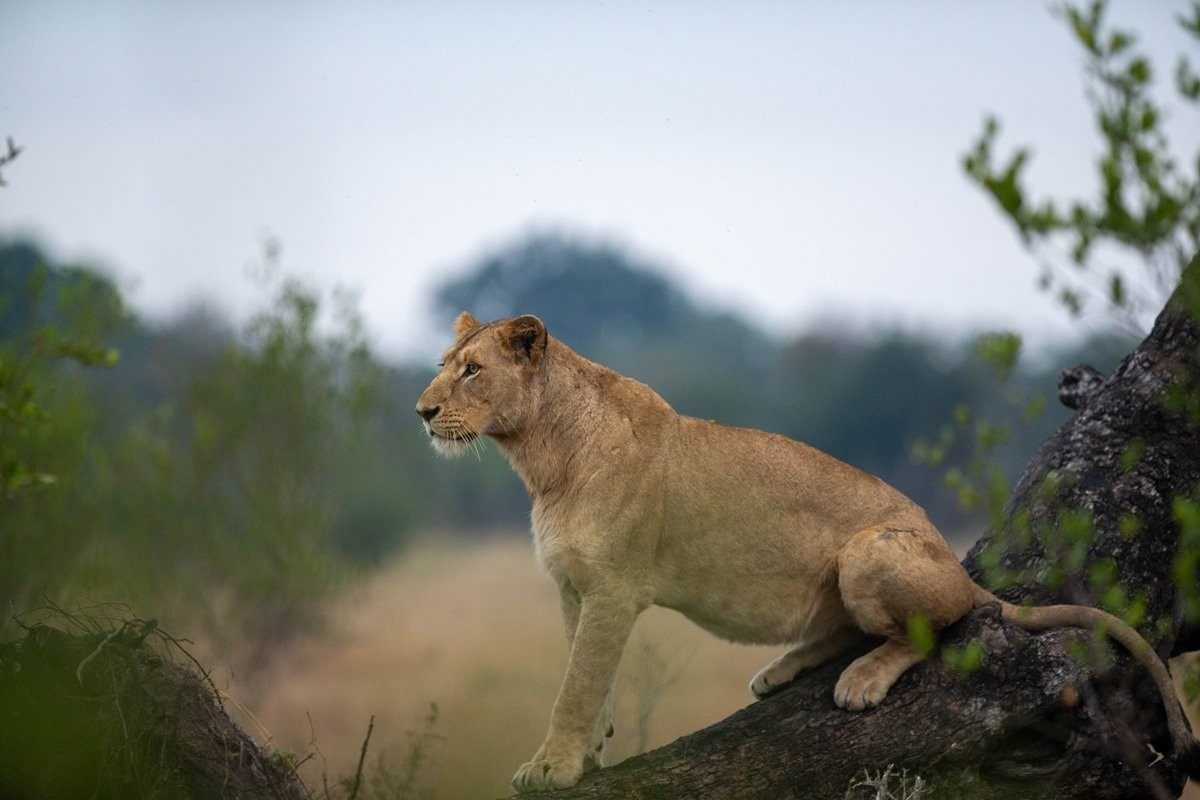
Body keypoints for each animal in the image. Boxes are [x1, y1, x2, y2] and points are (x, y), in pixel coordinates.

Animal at [416, 312, 1199, 793]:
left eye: (472, 371)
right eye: (443, 365)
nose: (421, 411)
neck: (540, 456)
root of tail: (959, 567)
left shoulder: (612, 587)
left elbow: (575, 685)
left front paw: (552, 767)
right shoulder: (574, 588)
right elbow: (590, 677)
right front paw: (591, 752)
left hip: (868, 552)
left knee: (929, 629)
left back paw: (861, 681)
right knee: (854, 627)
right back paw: (781, 670)